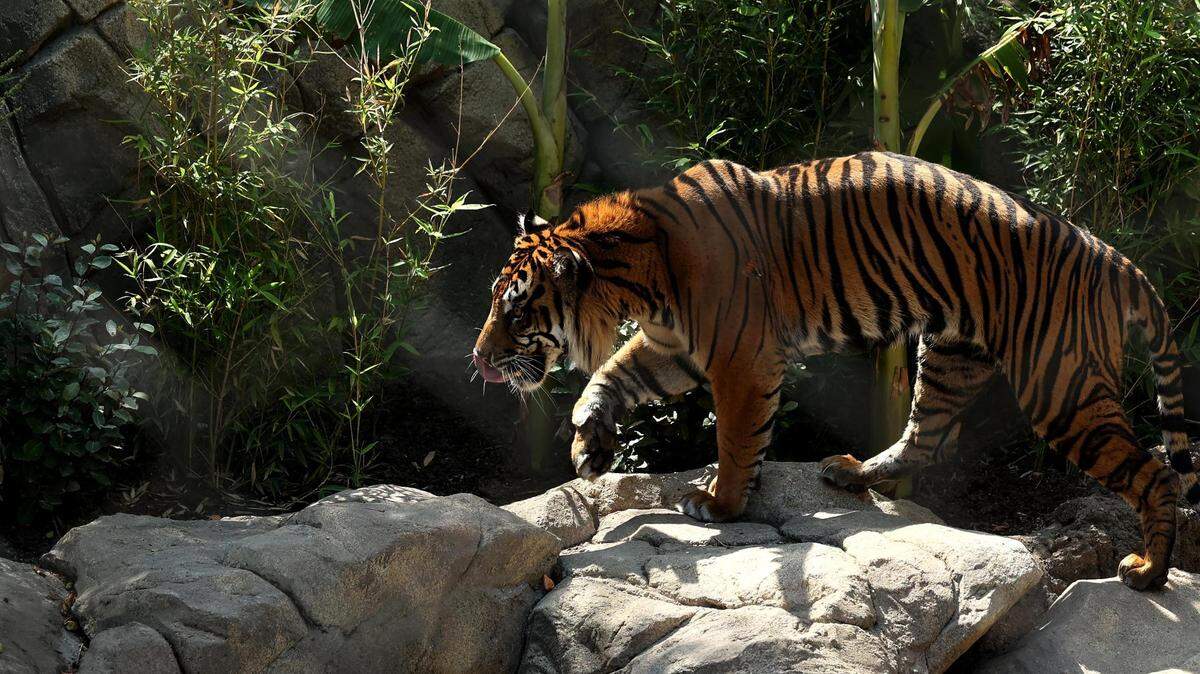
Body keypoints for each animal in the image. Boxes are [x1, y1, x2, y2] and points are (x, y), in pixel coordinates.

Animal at [471, 151, 1194, 591]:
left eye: (515, 310)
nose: (477, 360)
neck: (636, 274)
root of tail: (1113, 257)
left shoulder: (740, 356)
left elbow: (737, 437)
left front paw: (719, 503)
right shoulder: (673, 346)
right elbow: (615, 375)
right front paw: (589, 440)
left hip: (1059, 385)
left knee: (1157, 473)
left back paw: (1148, 571)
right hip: (953, 353)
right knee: (929, 436)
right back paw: (852, 473)